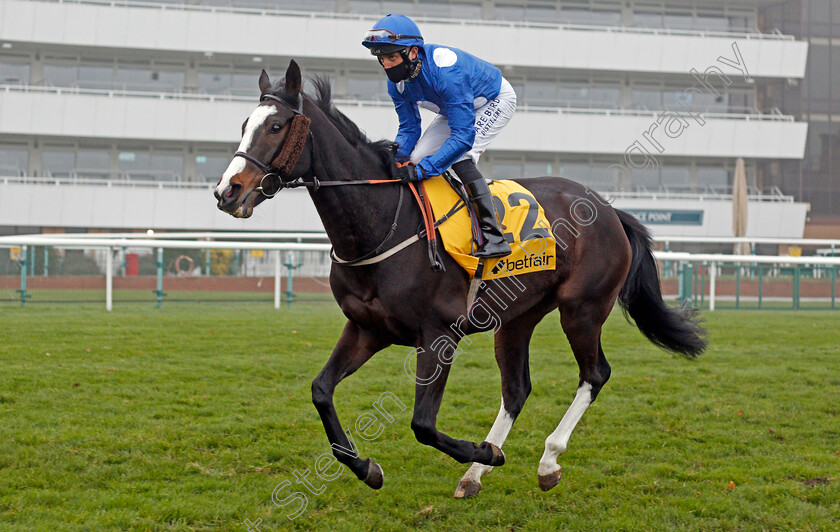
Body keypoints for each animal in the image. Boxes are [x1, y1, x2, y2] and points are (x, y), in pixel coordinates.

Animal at [213, 62, 704, 498]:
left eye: (276, 126)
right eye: (244, 124)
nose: (226, 192)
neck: (381, 223)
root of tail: (609, 210)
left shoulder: (438, 335)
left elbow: (422, 424)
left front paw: (485, 453)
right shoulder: (367, 328)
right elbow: (320, 391)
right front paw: (368, 468)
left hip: (582, 309)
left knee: (594, 374)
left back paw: (546, 461)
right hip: (517, 318)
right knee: (517, 389)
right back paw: (473, 477)